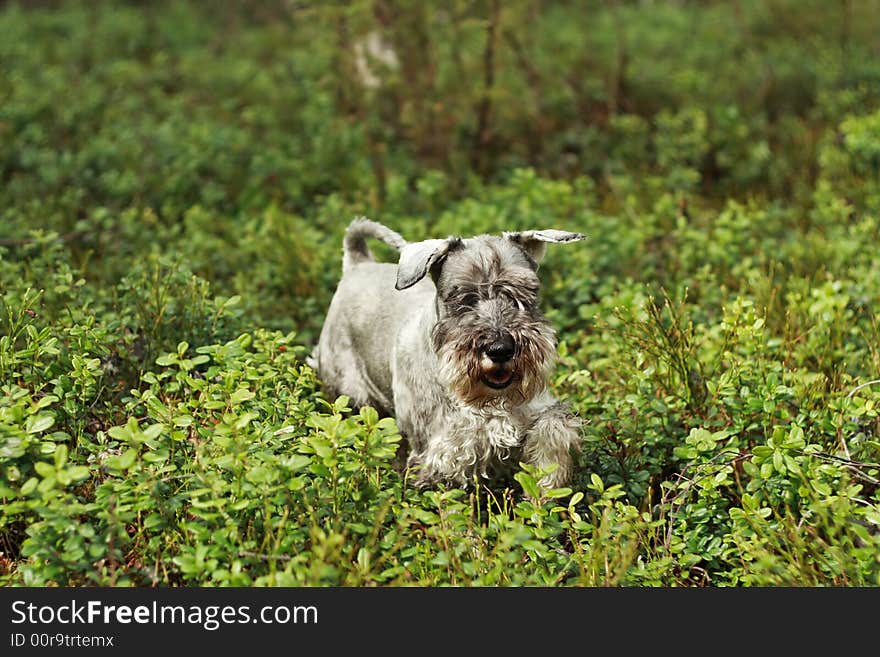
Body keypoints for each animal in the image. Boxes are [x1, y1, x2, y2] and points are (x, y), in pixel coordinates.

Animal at [310, 218, 584, 490]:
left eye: (522, 294)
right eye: (463, 299)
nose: (500, 349)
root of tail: (358, 265)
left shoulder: (535, 411)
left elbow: (552, 427)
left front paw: (548, 480)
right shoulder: (437, 453)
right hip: (351, 397)